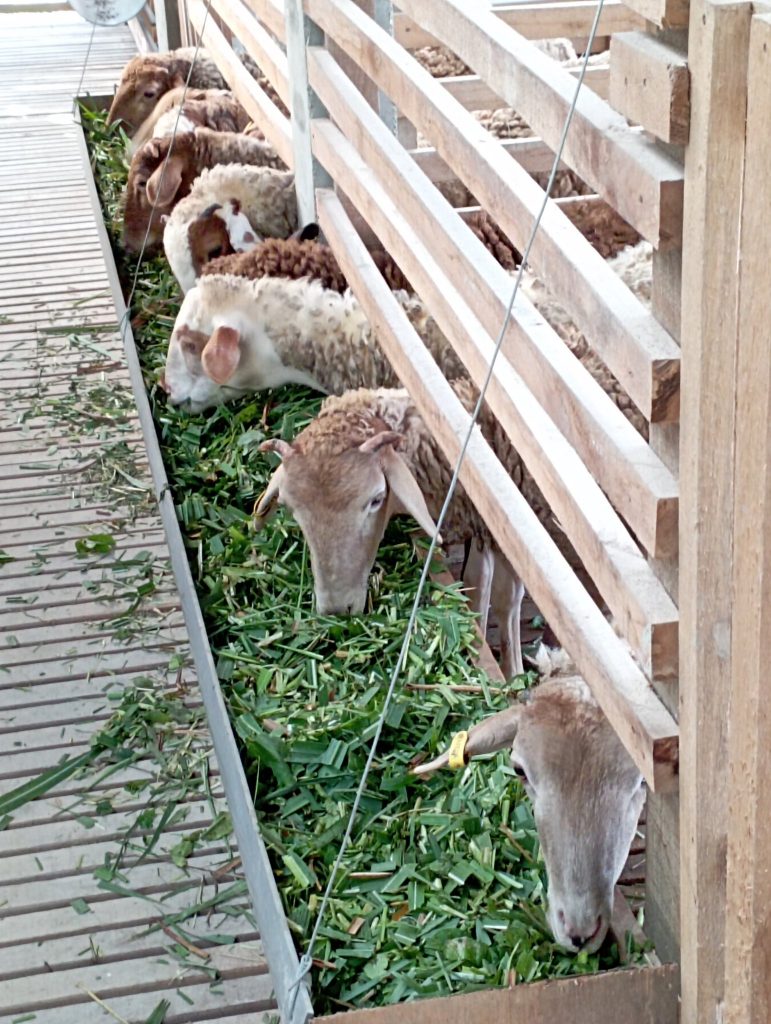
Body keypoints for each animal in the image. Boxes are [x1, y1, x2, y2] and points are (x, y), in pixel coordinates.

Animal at [252, 379, 582, 677]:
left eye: (377, 499)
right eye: (291, 508)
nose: (336, 610)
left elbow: (505, 598)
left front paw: (512, 674)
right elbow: (478, 586)